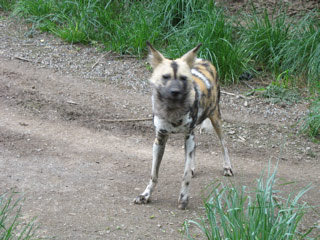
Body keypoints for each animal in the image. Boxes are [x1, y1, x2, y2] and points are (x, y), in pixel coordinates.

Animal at [132, 42, 232, 209]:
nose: (175, 91)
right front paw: (146, 195)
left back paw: (227, 167)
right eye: (165, 77)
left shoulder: (188, 135)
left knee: (223, 143)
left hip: (215, 118)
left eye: (183, 78)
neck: (173, 111)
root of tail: (203, 59)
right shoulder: (160, 139)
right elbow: (154, 175)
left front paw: (183, 198)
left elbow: (185, 176)